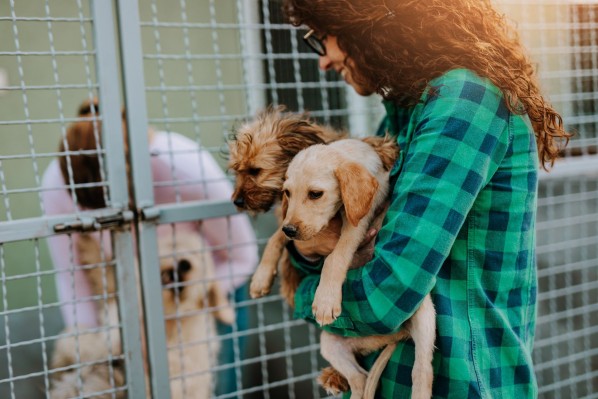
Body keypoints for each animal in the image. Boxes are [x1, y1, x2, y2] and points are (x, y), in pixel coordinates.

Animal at [49, 231, 234, 399]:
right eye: (172, 245)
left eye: (200, 258)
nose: (184, 264)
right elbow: (106, 273)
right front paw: (89, 243)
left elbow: (84, 342)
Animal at [282, 138, 436, 399]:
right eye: (287, 193)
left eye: (315, 194)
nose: (289, 230)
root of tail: (392, 335)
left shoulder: (358, 223)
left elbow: (336, 256)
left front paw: (325, 300)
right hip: (331, 343)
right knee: (360, 379)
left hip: (425, 316)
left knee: (422, 372)